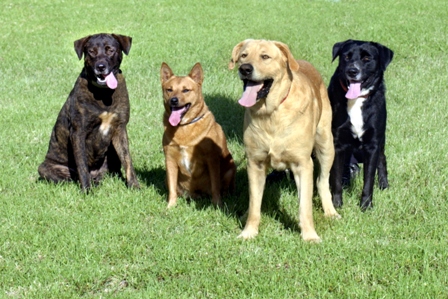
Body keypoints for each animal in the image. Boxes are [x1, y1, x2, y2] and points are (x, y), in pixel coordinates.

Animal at [38, 32, 140, 192]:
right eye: (92, 51)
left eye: (110, 50)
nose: (100, 66)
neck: (104, 94)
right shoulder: (78, 132)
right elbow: (82, 165)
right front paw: (87, 191)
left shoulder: (120, 128)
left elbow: (128, 160)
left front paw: (134, 186)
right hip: (45, 167)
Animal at [162, 62, 238, 209]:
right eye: (169, 89)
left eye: (186, 90)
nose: (173, 100)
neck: (184, 127)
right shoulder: (170, 159)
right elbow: (172, 188)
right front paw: (170, 206)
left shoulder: (211, 159)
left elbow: (215, 186)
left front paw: (217, 204)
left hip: (230, 169)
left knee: (224, 186)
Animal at [231, 39, 340, 243]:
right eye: (244, 55)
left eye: (265, 56)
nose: (245, 68)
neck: (271, 113)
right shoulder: (255, 163)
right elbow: (255, 204)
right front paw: (249, 232)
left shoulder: (303, 164)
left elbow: (305, 206)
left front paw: (310, 236)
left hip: (326, 144)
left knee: (322, 181)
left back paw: (330, 211)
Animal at [328, 39, 394, 211]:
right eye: (346, 56)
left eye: (367, 58)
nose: (352, 71)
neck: (357, 99)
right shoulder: (338, 143)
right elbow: (336, 178)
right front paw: (336, 204)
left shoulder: (373, 144)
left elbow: (368, 179)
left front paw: (366, 206)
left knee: (382, 160)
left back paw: (384, 185)